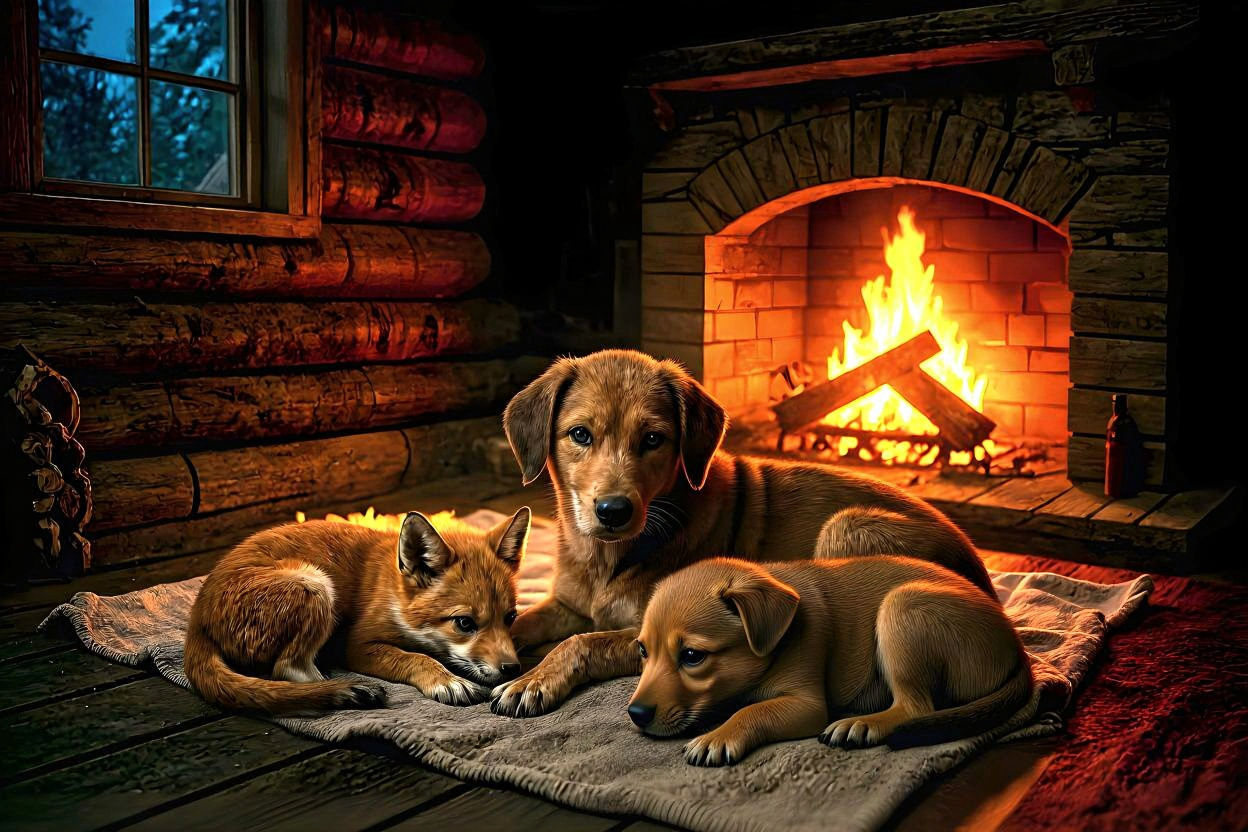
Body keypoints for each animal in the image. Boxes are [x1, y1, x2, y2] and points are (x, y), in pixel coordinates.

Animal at [184, 507, 530, 714]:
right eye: (464, 623)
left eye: (510, 618)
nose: (512, 669)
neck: (395, 595)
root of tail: (198, 615)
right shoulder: (357, 644)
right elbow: (414, 658)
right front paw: (444, 680)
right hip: (316, 585)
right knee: (286, 669)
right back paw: (336, 688)